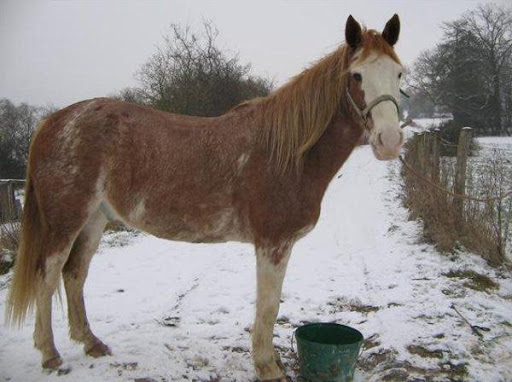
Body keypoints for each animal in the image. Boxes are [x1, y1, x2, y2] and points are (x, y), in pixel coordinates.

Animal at [4, 13, 404, 380]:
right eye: (356, 76)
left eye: (399, 75)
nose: (389, 141)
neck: (287, 153)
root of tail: (55, 121)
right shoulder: (273, 243)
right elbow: (268, 307)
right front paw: (267, 367)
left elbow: (270, 306)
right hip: (66, 219)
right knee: (48, 275)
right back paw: (50, 354)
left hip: (94, 218)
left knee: (75, 273)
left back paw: (91, 342)